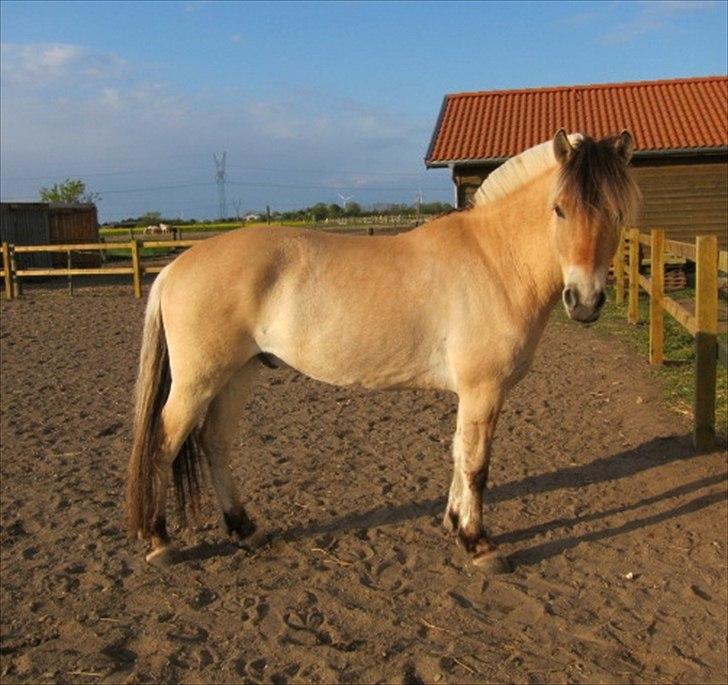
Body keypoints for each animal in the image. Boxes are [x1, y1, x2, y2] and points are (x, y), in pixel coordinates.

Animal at [128, 131, 640, 568]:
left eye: (618, 213)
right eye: (559, 209)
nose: (585, 300)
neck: (495, 261)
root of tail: (175, 267)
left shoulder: (471, 395)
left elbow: (458, 453)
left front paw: (454, 525)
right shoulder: (484, 390)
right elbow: (476, 464)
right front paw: (478, 544)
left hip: (239, 374)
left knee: (214, 442)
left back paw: (245, 530)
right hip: (199, 380)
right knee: (164, 442)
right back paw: (159, 541)